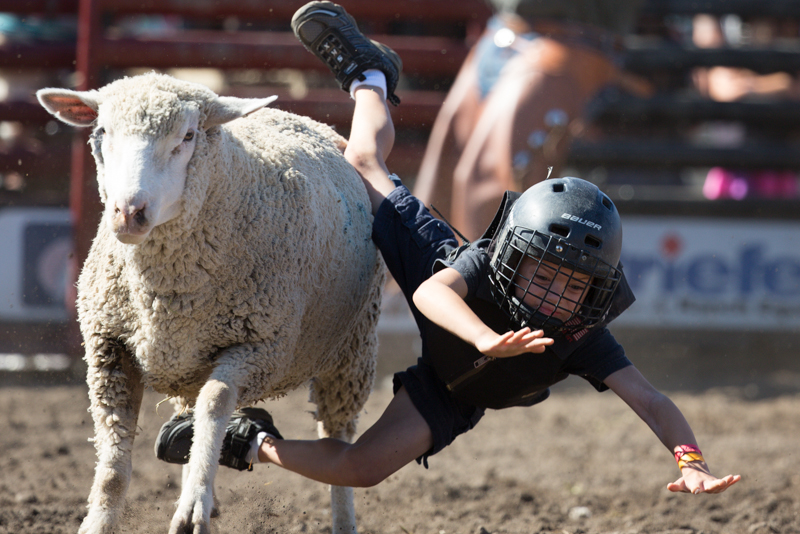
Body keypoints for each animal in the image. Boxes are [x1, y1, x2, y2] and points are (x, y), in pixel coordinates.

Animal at [37, 71, 384, 534]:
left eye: (187, 136)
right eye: (102, 132)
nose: (128, 212)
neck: (164, 292)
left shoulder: (259, 348)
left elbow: (217, 402)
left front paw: (194, 503)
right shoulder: (109, 349)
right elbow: (112, 467)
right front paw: (100, 521)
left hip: (351, 350)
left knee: (337, 441)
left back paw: (341, 518)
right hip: (189, 362)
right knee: (192, 410)